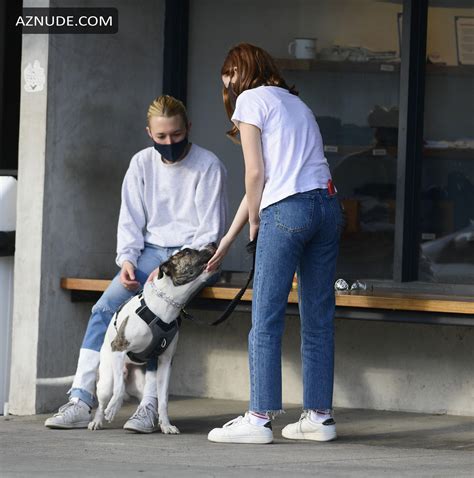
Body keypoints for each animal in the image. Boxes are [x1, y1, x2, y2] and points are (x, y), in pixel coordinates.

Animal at [88, 245, 218, 436]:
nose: (213, 243)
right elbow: (118, 388)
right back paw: (97, 420)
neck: (166, 305)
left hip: (141, 382)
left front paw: (166, 424)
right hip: (106, 378)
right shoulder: (119, 348)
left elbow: (163, 399)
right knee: (105, 397)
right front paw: (113, 408)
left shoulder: (165, 361)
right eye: (187, 251)